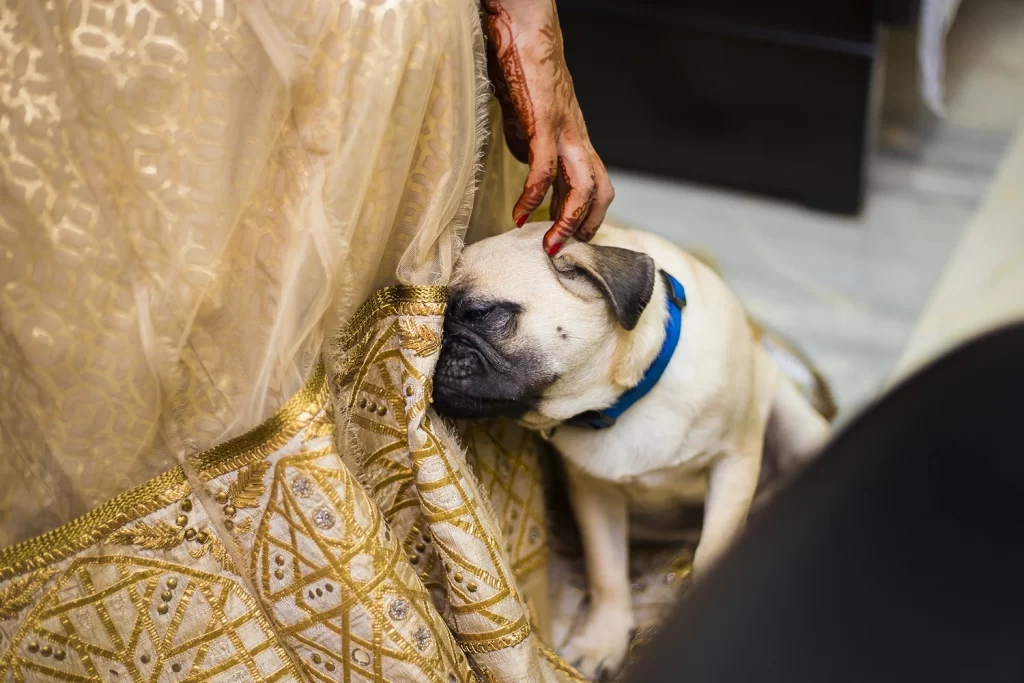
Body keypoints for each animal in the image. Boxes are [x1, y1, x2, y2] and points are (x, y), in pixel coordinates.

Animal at [434, 223, 831, 679]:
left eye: (481, 313)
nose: (438, 345)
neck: (626, 399)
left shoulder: (734, 464)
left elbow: (713, 550)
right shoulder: (595, 492)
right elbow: (607, 572)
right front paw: (602, 643)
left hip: (799, 431)